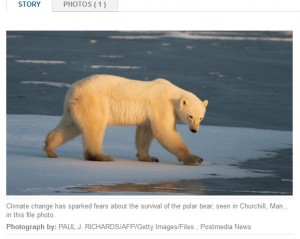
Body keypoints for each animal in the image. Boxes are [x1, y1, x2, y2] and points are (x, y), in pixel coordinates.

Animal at [43, 74, 209, 165]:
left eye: (201, 117)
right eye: (190, 116)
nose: (194, 130)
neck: (172, 94)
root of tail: (74, 90)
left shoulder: (149, 113)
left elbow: (145, 132)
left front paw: (148, 157)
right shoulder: (162, 106)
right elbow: (165, 131)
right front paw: (195, 159)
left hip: (75, 107)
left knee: (70, 126)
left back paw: (50, 149)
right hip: (94, 101)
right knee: (95, 127)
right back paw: (102, 156)